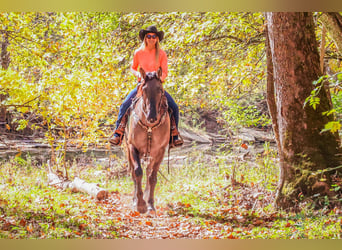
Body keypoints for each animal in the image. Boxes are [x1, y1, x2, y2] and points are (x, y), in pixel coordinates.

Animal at [124, 66, 170, 213]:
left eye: (160, 89)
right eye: (144, 89)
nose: (152, 117)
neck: (149, 127)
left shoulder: (160, 151)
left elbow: (152, 177)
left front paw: (150, 204)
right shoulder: (133, 147)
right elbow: (137, 172)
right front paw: (140, 204)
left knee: (149, 172)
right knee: (134, 173)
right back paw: (135, 200)